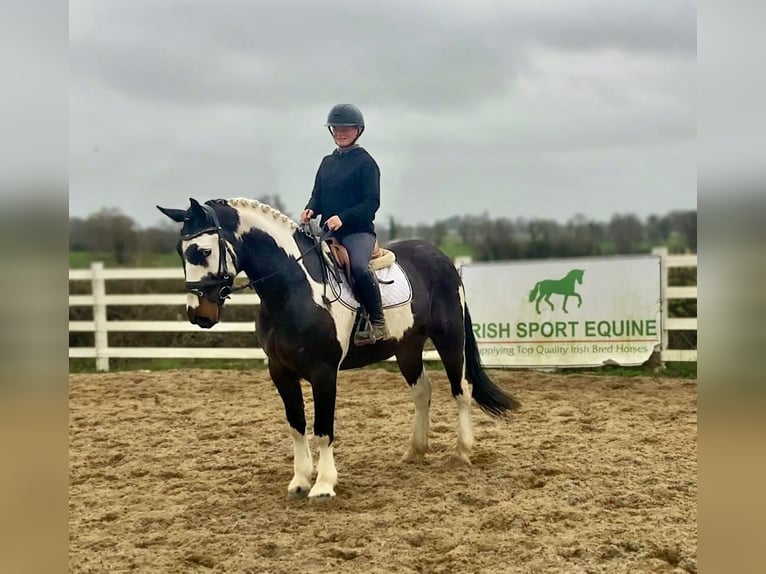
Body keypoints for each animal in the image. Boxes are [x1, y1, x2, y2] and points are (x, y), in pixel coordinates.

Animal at [157, 197, 519, 499]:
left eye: (203, 251)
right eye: (179, 249)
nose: (199, 315)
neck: (294, 289)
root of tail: (441, 258)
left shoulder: (324, 373)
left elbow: (323, 429)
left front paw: (324, 485)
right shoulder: (280, 371)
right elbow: (296, 426)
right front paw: (300, 481)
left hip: (450, 339)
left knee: (462, 389)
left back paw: (461, 451)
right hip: (407, 347)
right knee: (422, 393)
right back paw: (414, 452)